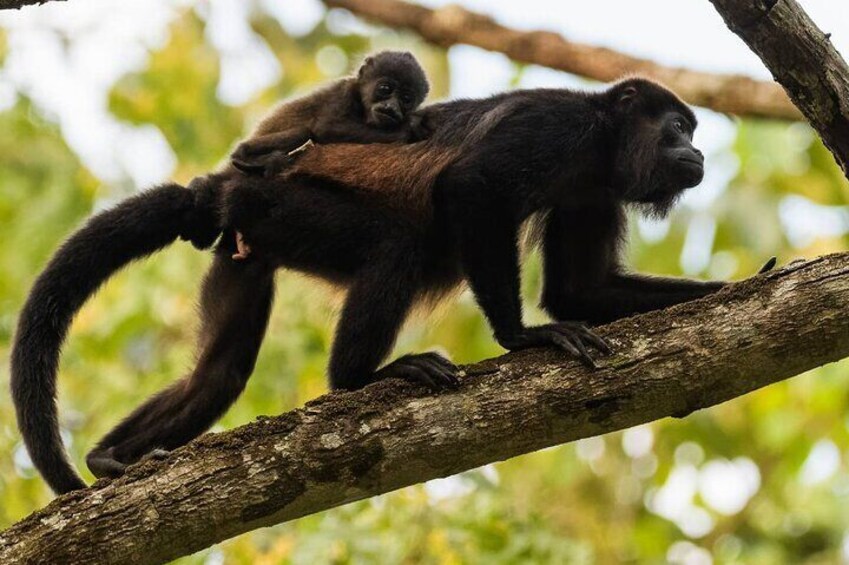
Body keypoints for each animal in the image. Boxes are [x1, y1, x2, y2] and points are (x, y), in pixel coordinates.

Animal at [9, 76, 760, 494]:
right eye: (678, 126)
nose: (698, 150)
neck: (602, 142)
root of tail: (221, 188)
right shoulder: (551, 127)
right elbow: (470, 186)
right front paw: (523, 335)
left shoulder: (594, 187)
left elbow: (580, 288)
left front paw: (738, 287)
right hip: (282, 206)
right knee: (395, 247)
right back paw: (360, 378)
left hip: (245, 246)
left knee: (218, 373)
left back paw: (109, 455)